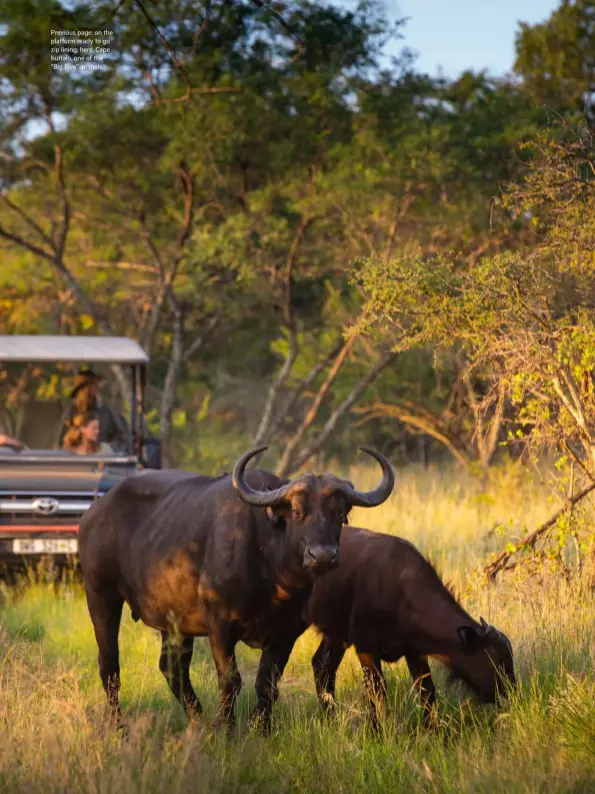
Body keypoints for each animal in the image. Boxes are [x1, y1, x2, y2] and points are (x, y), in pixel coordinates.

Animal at [79, 442, 396, 728]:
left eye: (340, 513)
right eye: (296, 511)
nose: (323, 556)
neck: (270, 571)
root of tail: (94, 513)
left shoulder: (287, 632)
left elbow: (267, 684)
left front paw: (262, 728)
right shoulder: (220, 627)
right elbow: (230, 681)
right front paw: (226, 729)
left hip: (174, 620)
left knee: (173, 668)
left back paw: (198, 720)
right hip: (101, 597)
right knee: (109, 665)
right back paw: (118, 725)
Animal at [304, 524, 516, 728]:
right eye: (498, 660)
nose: (512, 695)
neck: (401, 592)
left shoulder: (414, 651)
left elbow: (426, 689)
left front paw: (432, 728)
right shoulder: (365, 645)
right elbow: (376, 689)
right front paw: (376, 731)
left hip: (336, 635)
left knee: (322, 665)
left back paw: (328, 717)